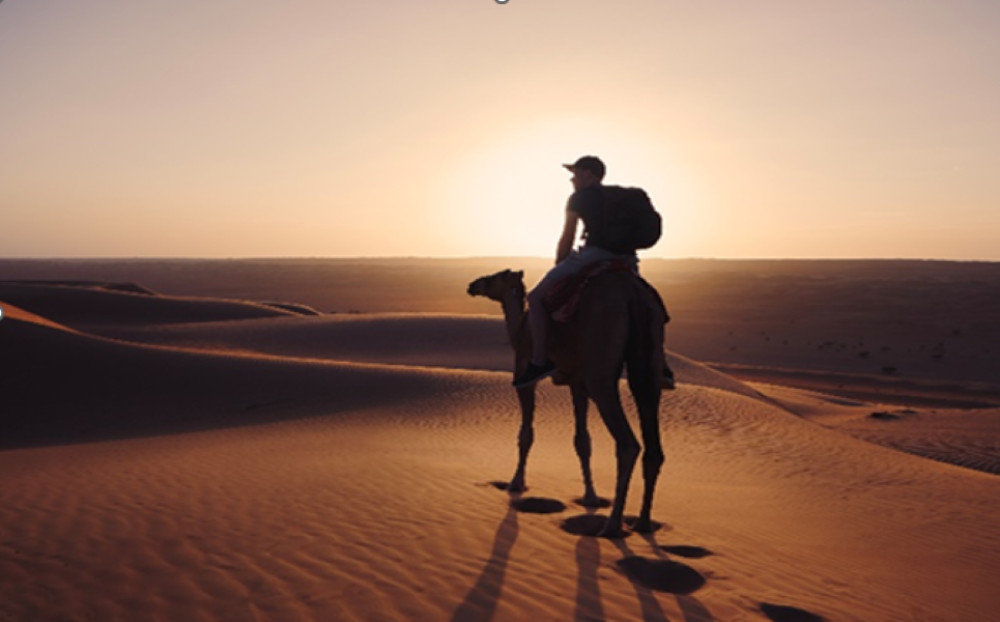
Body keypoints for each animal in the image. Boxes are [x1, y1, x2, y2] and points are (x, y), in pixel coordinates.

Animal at [467, 267, 667, 537]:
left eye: (494, 277)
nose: (473, 284)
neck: (519, 327)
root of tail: (635, 296)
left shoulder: (524, 373)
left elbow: (526, 433)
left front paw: (516, 483)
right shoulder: (576, 383)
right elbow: (583, 441)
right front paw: (590, 497)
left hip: (600, 374)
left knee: (628, 444)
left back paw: (612, 525)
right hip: (649, 368)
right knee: (653, 444)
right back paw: (643, 523)